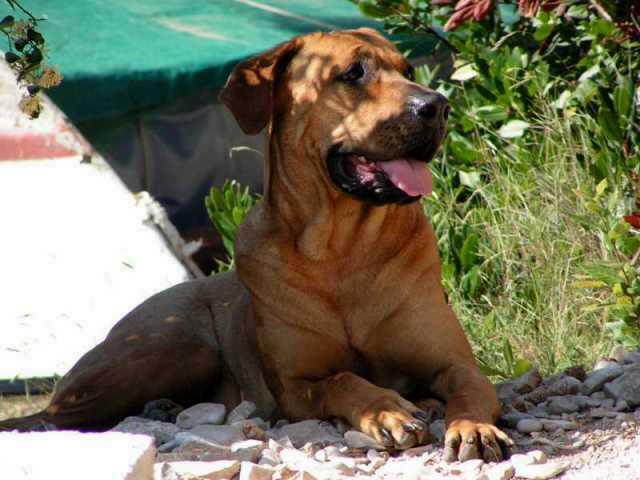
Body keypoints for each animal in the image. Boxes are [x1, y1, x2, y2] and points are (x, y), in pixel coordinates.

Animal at [0, 28, 510, 464]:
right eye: (353, 73)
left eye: (407, 69)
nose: (437, 106)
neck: (341, 249)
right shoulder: (295, 386)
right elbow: (343, 380)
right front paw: (386, 410)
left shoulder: (454, 362)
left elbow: (469, 387)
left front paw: (473, 427)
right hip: (179, 347)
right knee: (59, 415)